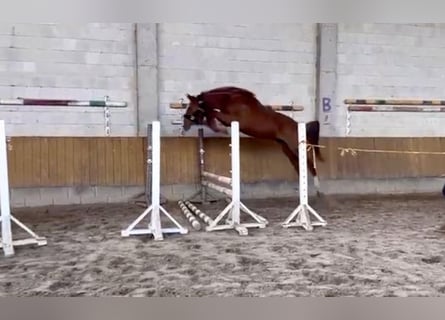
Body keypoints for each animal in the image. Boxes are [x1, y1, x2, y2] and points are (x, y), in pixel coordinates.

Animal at [180, 85, 322, 195]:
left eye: (190, 107)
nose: (185, 124)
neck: (230, 101)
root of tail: (298, 125)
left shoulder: (230, 119)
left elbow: (213, 113)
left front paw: (220, 129)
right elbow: (211, 115)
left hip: (295, 147)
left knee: (309, 162)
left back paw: (317, 187)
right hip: (286, 149)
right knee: (298, 165)